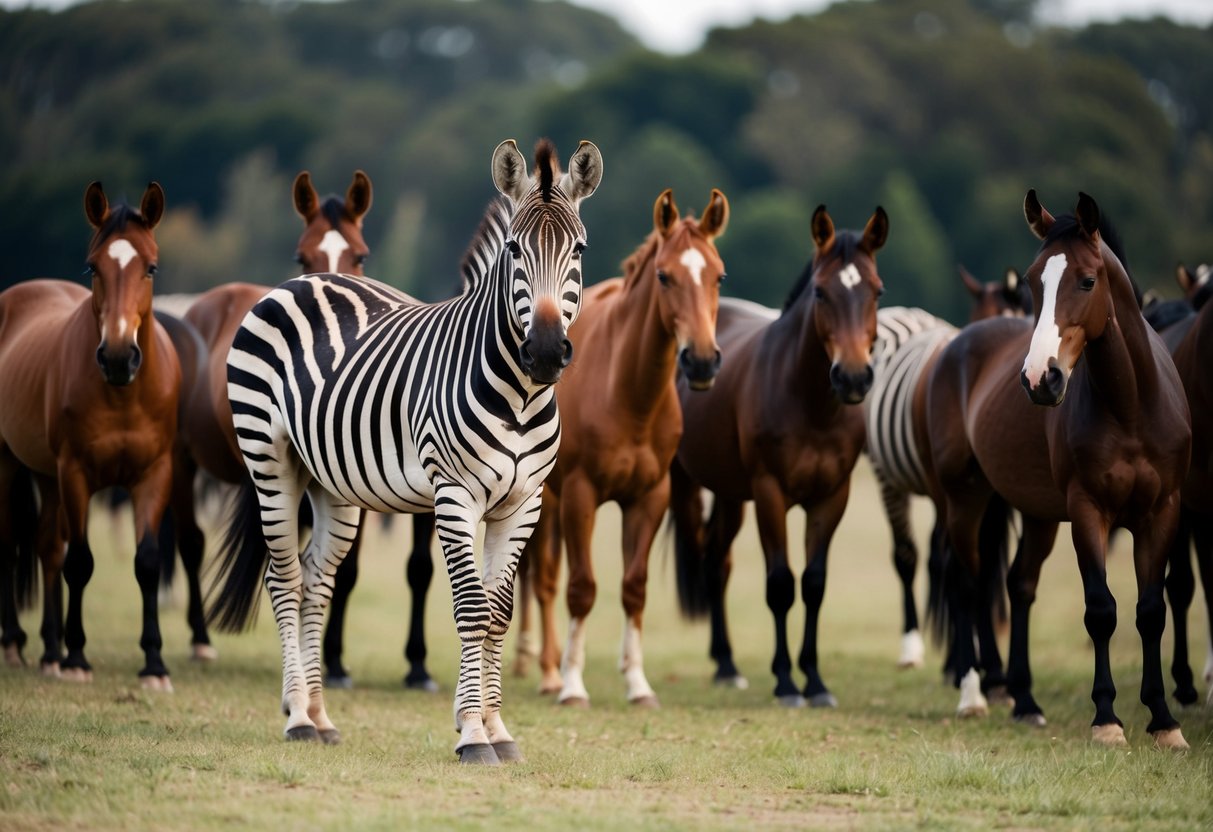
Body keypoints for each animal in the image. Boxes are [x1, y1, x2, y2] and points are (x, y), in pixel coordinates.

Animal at [0, 181, 181, 688]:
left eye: (150, 267)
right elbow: (81, 562)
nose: (119, 356)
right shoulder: (76, 473)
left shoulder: (154, 475)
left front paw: (154, 663)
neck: (123, 395)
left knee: (46, 548)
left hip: (46, 477)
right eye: (92, 267)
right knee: (14, 544)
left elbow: (147, 562)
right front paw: (78, 658)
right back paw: (18, 645)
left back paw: (49, 649)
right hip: (13, 464)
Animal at [213, 138, 606, 771]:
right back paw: (297, 717)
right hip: (269, 457)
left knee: (316, 582)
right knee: (284, 578)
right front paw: (472, 735)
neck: (523, 395)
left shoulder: (524, 504)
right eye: (514, 249)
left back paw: (320, 717)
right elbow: (470, 609)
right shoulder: (455, 494)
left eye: (579, 249)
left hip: (332, 483)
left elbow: (497, 614)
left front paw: (498, 729)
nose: (546, 352)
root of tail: (304, 280)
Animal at [521, 187, 727, 703]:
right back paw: (550, 672)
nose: (701, 361)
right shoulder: (580, 496)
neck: (629, 395)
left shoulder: (649, 498)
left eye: (718, 276)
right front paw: (574, 684)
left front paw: (637, 683)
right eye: (664, 276)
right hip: (543, 499)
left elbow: (634, 587)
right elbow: (581, 588)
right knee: (545, 581)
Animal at [669, 204, 887, 708]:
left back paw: (727, 666)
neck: (810, 403)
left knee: (717, 562)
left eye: (877, 291)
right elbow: (781, 584)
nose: (852, 377)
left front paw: (816, 681)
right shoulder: (770, 495)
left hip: (730, 495)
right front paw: (787, 682)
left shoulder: (832, 497)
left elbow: (814, 584)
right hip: (689, 486)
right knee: (708, 558)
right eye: (821, 292)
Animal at [926, 192, 1183, 751]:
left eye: (1087, 280)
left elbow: (1151, 612)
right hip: (966, 499)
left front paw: (1164, 719)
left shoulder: (1161, 513)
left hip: (1036, 513)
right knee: (968, 582)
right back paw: (974, 696)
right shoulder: (1088, 512)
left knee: (1019, 585)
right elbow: (1101, 609)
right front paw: (1107, 718)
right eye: (1031, 280)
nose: (1039, 378)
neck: (1131, 405)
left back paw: (1025, 701)